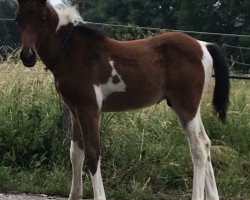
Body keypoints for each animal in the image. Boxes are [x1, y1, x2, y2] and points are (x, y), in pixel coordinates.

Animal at [15, 0, 229, 200]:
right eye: (18, 19)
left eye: (43, 19)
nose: (28, 56)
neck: (72, 52)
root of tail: (204, 45)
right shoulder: (75, 110)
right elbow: (75, 153)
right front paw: (74, 195)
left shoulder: (89, 109)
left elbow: (92, 154)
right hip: (188, 108)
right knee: (206, 143)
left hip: (186, 105)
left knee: (198, 147)